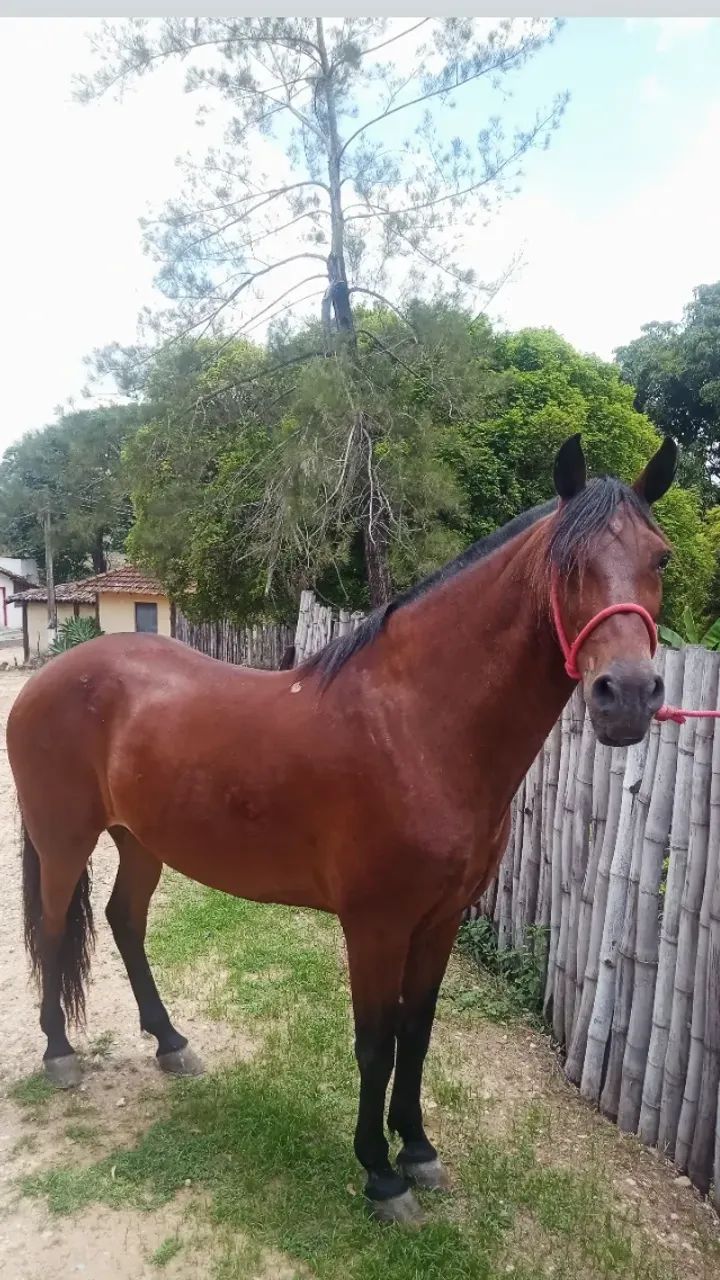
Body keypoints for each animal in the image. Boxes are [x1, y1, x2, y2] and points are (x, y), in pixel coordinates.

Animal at [7, 432, 677, 1226]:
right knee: (55, 930)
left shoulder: (440, 920)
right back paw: (59, 1054)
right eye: (566, 564)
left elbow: (417, 1034)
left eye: (659, 559)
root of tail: (52, 678)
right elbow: (375, 1043)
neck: (416, 725)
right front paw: (380, 1175)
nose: (626, 695)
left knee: (123, 921)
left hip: (142, 841)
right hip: (63, 841)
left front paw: (417, 1149)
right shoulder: (376, 924)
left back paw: (170, 1042)